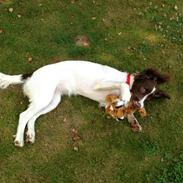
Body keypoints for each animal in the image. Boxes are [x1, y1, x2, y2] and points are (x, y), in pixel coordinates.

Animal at [0, 60, 170, 147]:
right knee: (24, 115)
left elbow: (126, 109)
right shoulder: (102, 84)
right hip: (44, 97)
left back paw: (30, 134)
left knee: (32, 117)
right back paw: (19, 139)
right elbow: (123, 88)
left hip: (53, 100)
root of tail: (32, 74)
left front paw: (133, 120)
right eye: (143, 89)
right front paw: (125, 96)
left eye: (149, 98)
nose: (140, 106)